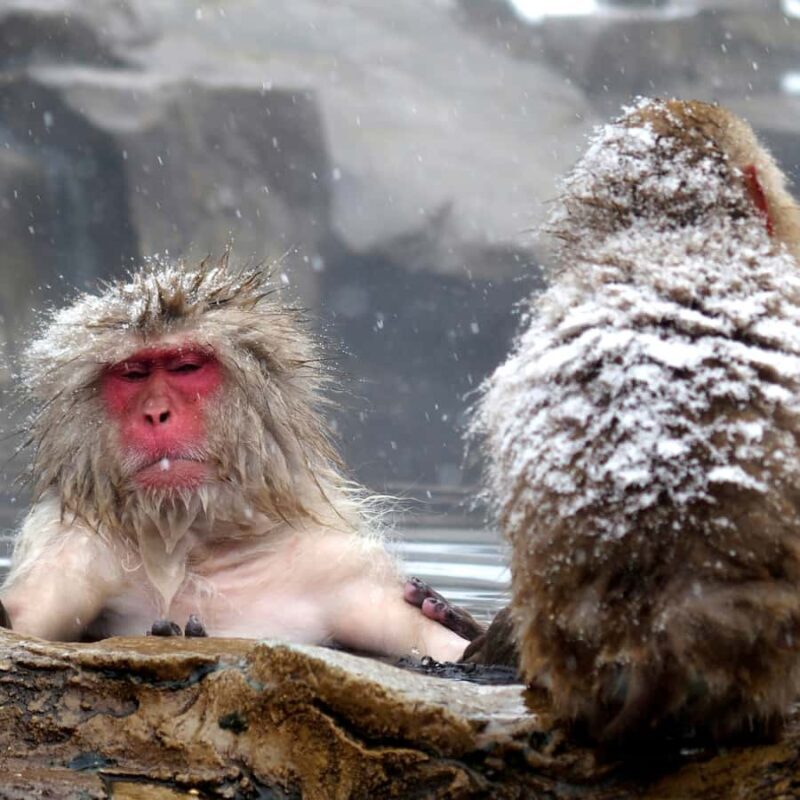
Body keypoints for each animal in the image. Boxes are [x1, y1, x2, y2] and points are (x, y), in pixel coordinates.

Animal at [0, 254, 470, 663]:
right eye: (133, 374)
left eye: (186, 367)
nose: (155, 413)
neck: (197, 548)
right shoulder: (71, 546)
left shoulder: (343, 571)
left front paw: (458, 623)